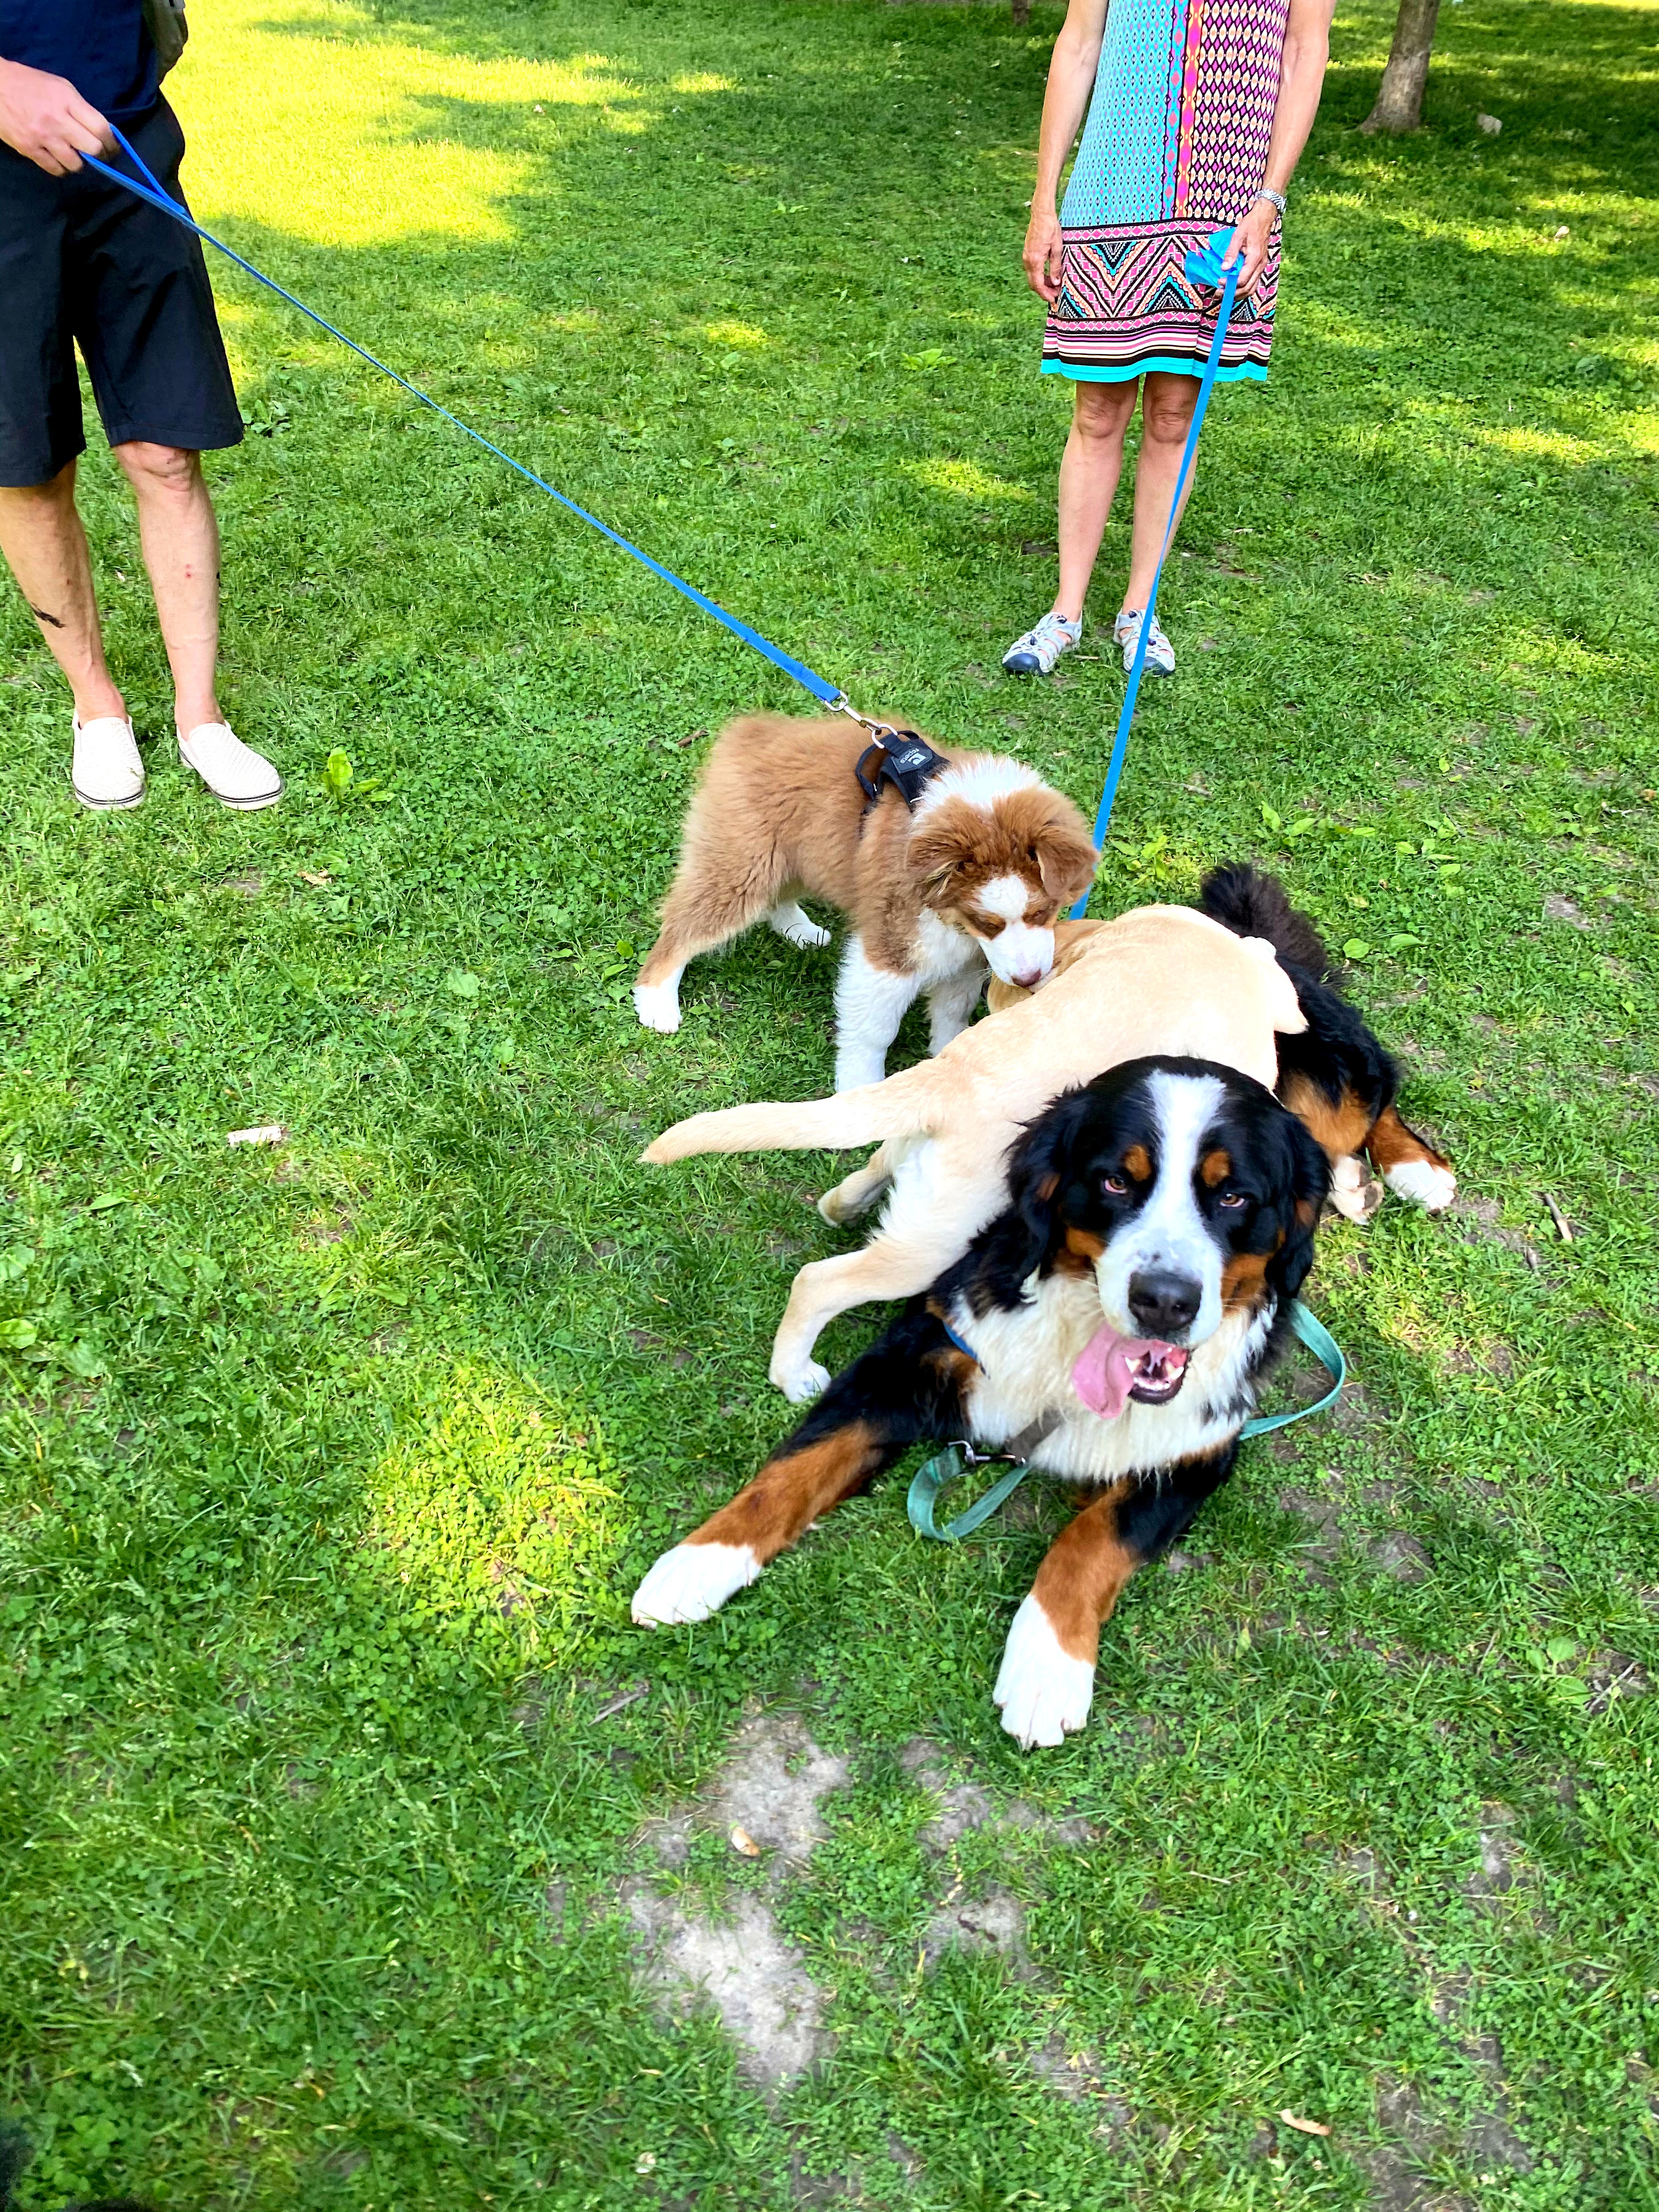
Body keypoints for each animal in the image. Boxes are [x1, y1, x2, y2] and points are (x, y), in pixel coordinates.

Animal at [628, 712, 1097, 1092]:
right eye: (987, 922)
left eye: (1043, 913)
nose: (1028, 978)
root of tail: (751, 732)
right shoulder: (890, 946)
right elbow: (874, 1028)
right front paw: (859, 1088)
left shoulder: (966, 955)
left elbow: (952, 1010)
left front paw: (951, 1058)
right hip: (741, 868)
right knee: (683, 929)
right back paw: (656, 1003)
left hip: (795, 858)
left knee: (779, 900)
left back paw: (801, 931)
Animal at [628, 1044, 1336, 1752]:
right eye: (1115, 1182)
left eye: (1234, 1196)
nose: (1164, 1301)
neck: (1068, 1351)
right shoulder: (912, 1355)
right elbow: (792, 1471)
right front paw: (697, 1563)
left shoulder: (1195, 1454)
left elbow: (1092, 1542)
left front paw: (1047, 1670)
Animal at [641, 902, 1309, 1398]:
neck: (1195, 948)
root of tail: (947, 1077)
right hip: (930, 1245)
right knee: (818, 1281)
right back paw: (794, 1374)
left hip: (919, 1184)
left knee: (874, 1167)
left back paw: (843, 1206)